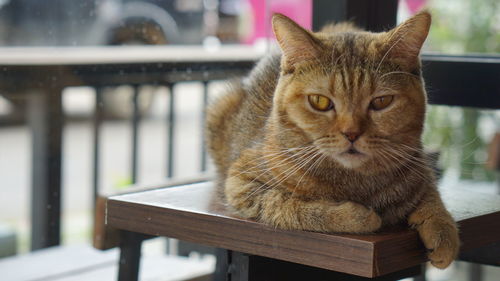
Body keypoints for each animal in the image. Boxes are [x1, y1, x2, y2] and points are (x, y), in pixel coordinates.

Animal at [205, 10, 458, 268]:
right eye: (320, 101)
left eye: (381, 102)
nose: (351, 133)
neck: (352, 181)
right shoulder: (241, 183)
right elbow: (288, 206)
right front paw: (356, 216)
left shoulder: (419, 166)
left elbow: (430, 192)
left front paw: (442, 229)